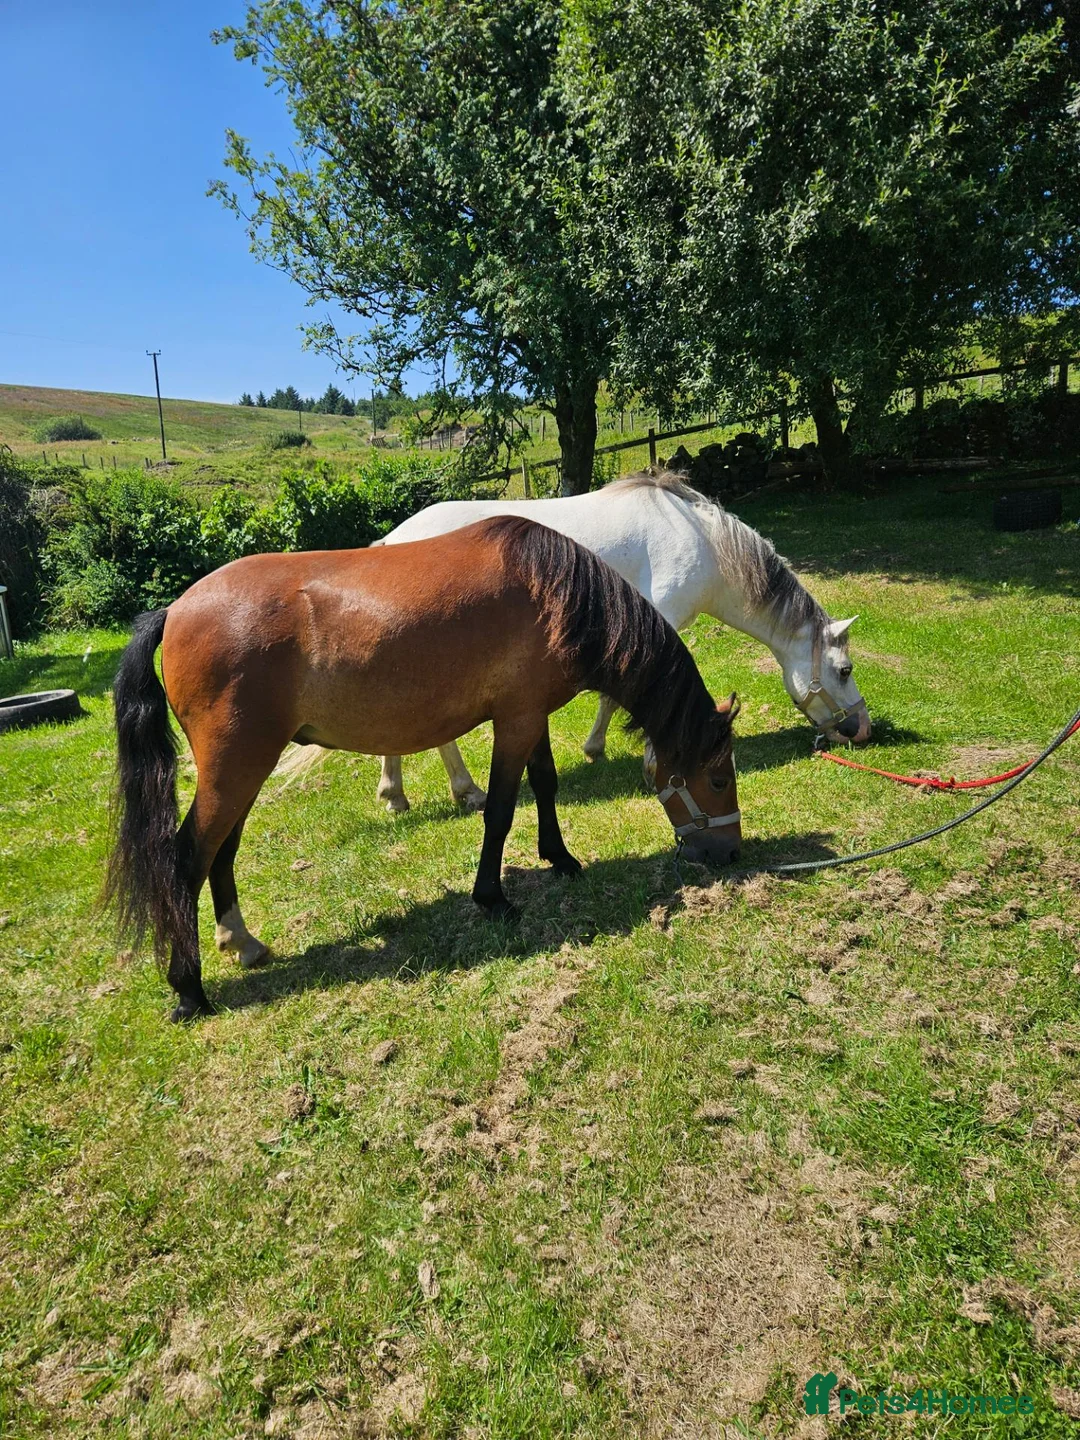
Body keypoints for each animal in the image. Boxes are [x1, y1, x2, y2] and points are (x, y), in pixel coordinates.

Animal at [107, 517, 742, 1022]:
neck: (552, 593)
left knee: (223, 851)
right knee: (188, 859)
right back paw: (189, 990)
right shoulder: (515, 720)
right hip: (236, 767)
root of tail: (175, 610)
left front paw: (560, 858)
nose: (729, 853)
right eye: (717, 779)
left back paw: (241, 942)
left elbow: (545, 785)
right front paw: (493, 897)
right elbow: (502, 810)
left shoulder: (529, 714)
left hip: (243, 770)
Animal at [366, 471, 870, 813]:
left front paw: (596, 749)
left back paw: (398, 793)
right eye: (844, 671)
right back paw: (465, 790)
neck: (703, 542)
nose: (862, 730)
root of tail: (389, 543)